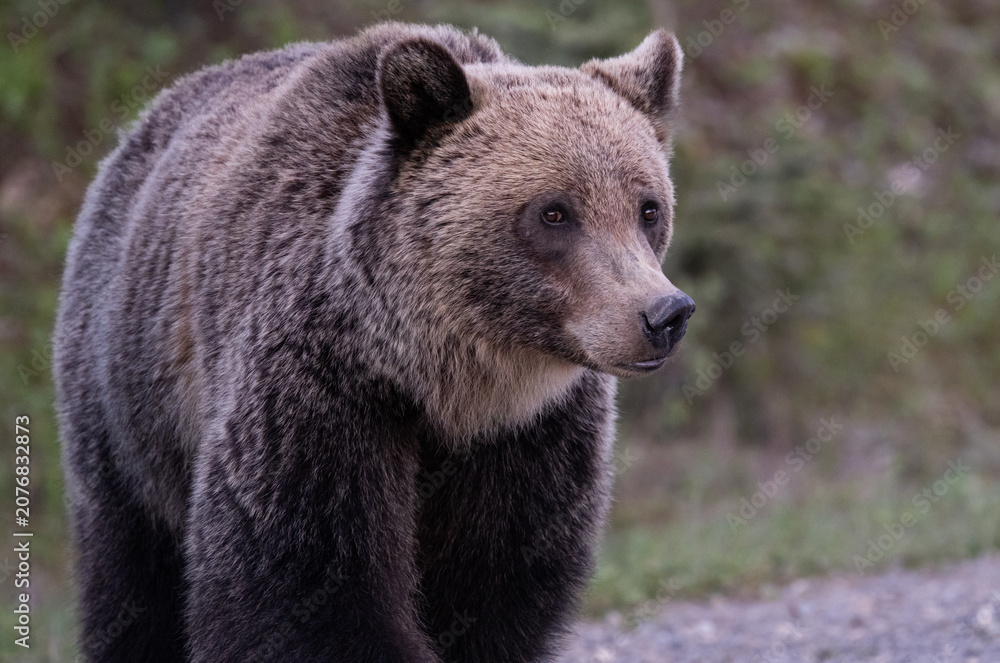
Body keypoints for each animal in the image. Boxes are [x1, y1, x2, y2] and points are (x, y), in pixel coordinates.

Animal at [53, 21, 694, 663]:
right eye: (555, 213)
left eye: (647, 208)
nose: (663, 314)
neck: (446, 381)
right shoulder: (318, 391)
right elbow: (308, 582)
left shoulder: (530, 437)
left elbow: (493, 587)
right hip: (129, 397)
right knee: (134, 572)